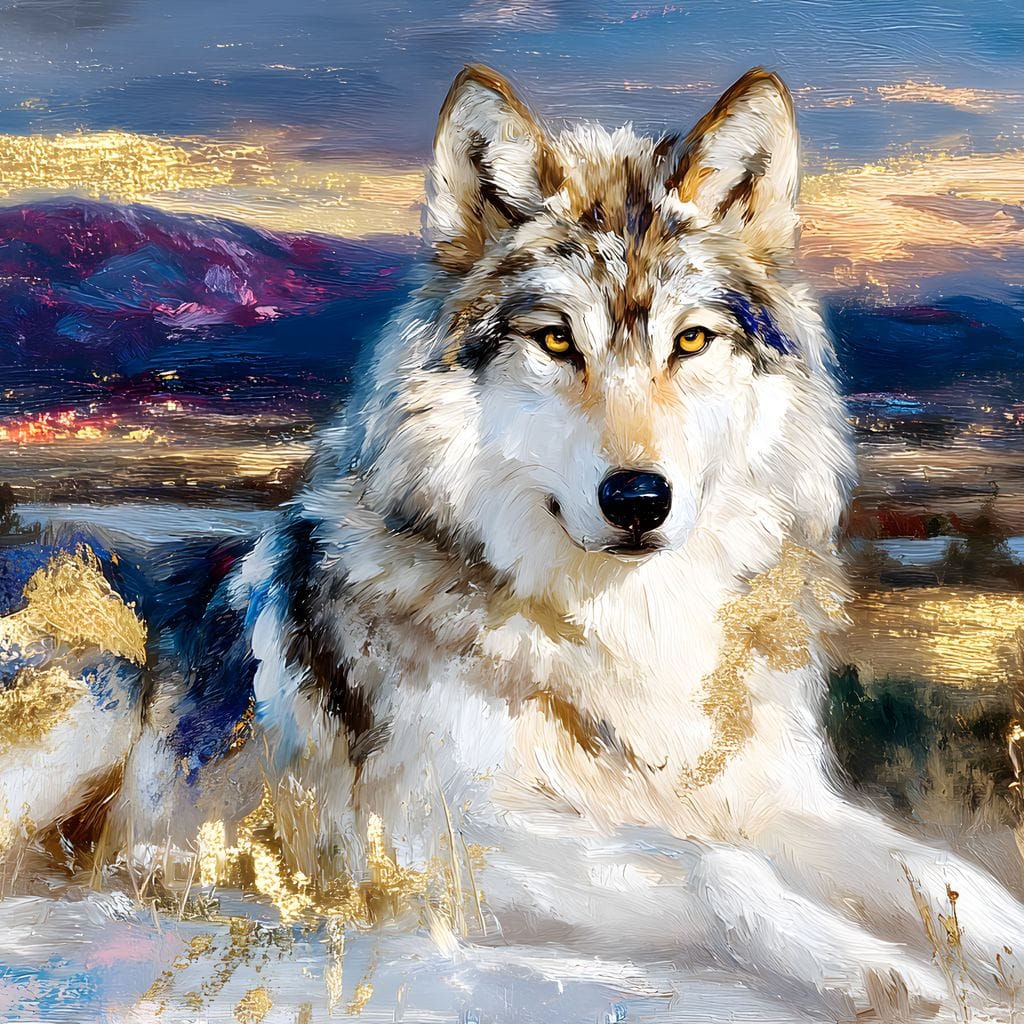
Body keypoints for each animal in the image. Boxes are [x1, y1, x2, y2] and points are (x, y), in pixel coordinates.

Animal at [4, 65, 1024, 1019]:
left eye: (692, 341)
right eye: (556, 342)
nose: (638, 498)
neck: (632, 627)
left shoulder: (772, 797)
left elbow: (944, 874)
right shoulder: (443, 832)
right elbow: (710, 867)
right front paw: (879, 974)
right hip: (97, 688)